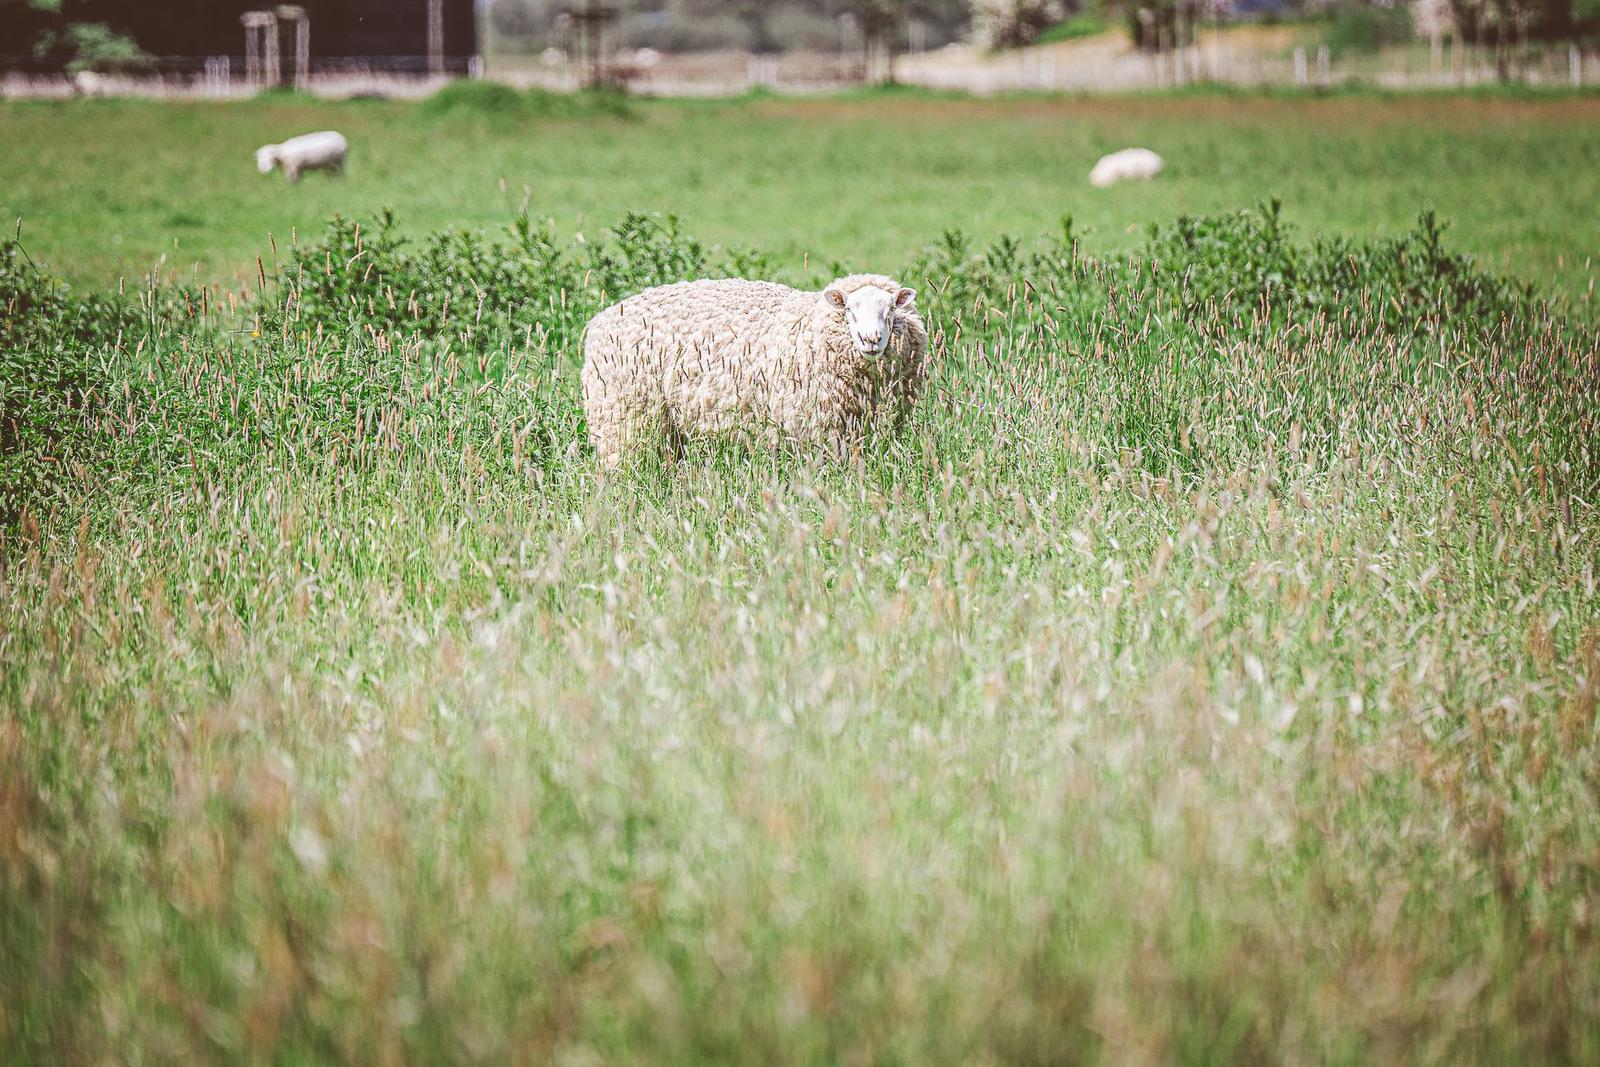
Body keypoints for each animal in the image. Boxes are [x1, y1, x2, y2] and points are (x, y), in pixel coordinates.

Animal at [580, 274, 928, 468]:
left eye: (891, 309)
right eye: (850, 312)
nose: (871, 339)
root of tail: (600, 320)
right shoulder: (818, 428)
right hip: (623, 418)